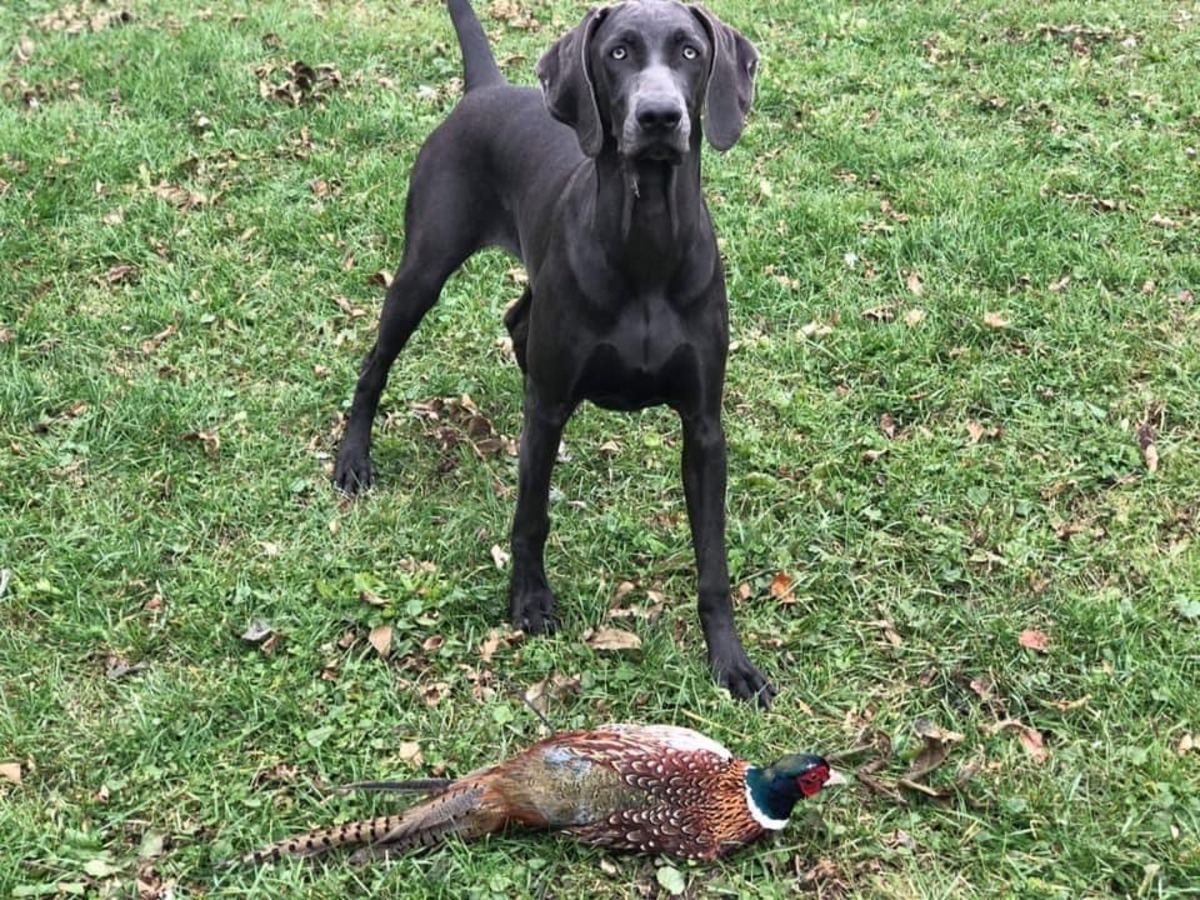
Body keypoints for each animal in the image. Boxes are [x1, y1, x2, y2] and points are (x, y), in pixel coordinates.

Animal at [336, 0, 777, 705]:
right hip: (424, 268)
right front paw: (529, 601)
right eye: (619, 53)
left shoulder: (704, 427)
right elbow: (530, 517)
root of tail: (485, 90)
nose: (659, 117)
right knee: (377, 362)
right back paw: (353, 458)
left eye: (689, 51)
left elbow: (712, 557)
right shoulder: (546, 412)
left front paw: (732, 662)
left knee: (516, 320)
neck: (647, 238)